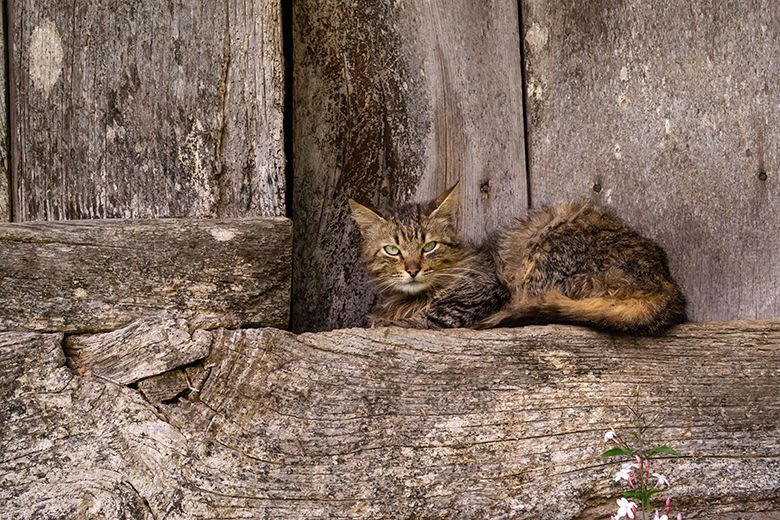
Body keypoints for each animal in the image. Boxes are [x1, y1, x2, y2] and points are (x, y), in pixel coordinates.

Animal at [350, 185, 684, 336]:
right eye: (392, 251)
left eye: (429, 246)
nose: (413, 269)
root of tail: (667, 283)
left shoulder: (484, 294)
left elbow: (420, 319)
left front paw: (386, 321)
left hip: (544, 248)